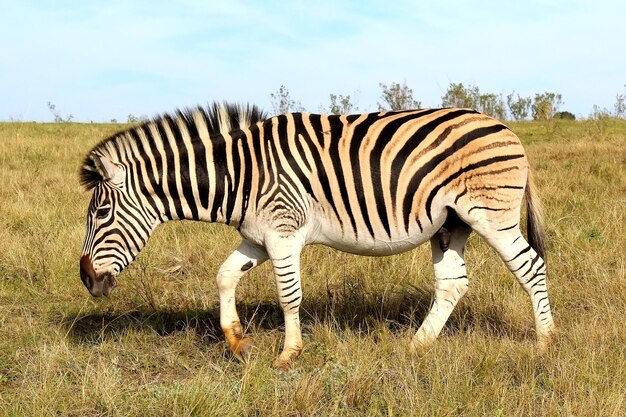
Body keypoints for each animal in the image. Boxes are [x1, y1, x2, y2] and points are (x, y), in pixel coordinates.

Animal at [79, 102, 556, 368]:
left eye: (100, 212)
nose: (87, 279)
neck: (241, 177)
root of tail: (506, 129)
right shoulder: (258, 237)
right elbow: (225, 276)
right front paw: (236, 341)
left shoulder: (284, 232)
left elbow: (289, 295)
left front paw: (288, 355)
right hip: (451, 224)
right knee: (453, 284)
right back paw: (416, 347)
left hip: (490, 214)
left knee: (531, 267)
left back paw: (544, 344)